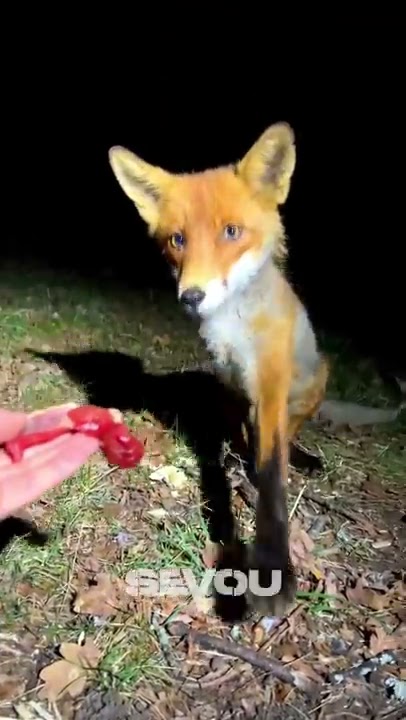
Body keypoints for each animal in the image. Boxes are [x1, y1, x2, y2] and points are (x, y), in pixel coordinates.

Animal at [108, 122, 406, 620]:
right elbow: (237, 435)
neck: (235, 330)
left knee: (292, 431)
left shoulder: (268, 383)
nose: (191, 297)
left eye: (231, 232)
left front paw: (271, 564)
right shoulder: (229, 379)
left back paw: (301, 456)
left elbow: (270, 473)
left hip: (314, 382)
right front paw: (233, 457)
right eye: (177, 240)